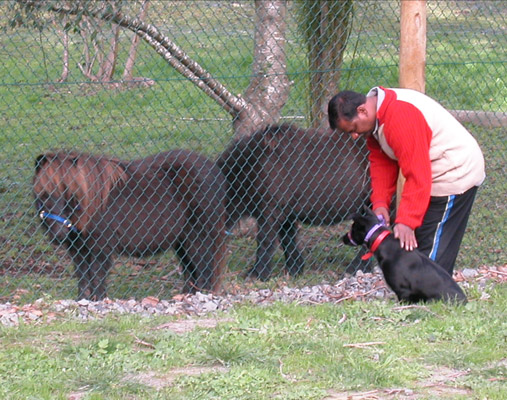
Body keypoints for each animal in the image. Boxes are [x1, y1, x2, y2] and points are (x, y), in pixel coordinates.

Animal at [32, 150, 227, 300]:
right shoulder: (78, 249)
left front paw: (99, 301)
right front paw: (82, 301)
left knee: (203, 270)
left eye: (71, 195)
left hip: (198, 238)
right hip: (182, 243)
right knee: (191, 271)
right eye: (43, 196)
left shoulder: (100, 248)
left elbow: (96, 276)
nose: (58, 235)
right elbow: (82, 278)